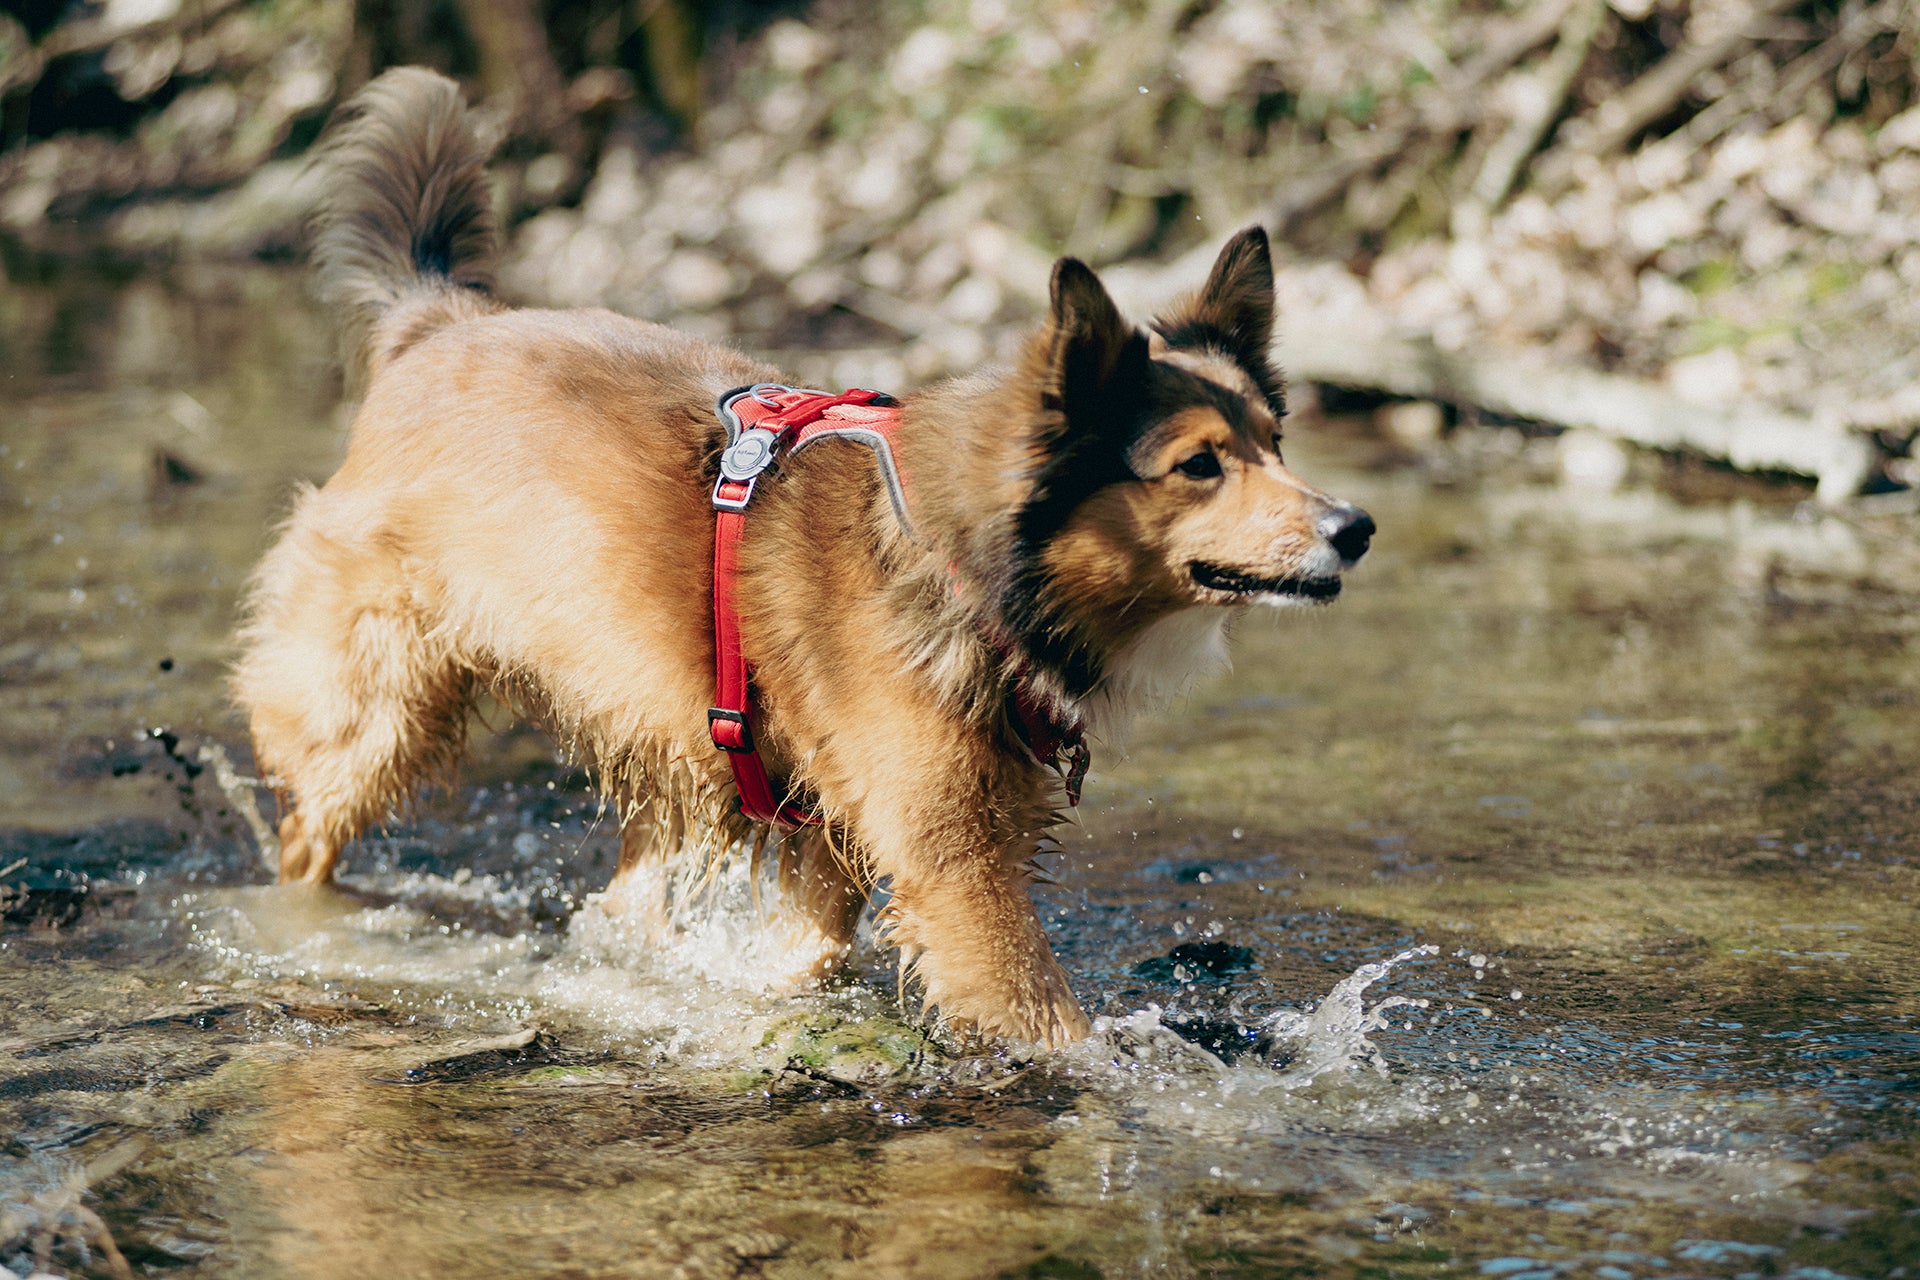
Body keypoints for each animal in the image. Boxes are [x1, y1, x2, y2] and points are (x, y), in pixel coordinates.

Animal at [236, 67, 1367, 1051]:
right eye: (1199, 465)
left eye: (1276, 440)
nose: (1356, 526)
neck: (954, 560)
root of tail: (436, 322)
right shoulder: (957, 872)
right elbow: (1045, 1020)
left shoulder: (837, 824)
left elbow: (812, 950)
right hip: (369, 714)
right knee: (305, 840)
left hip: (660, 740)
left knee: (622, 898)